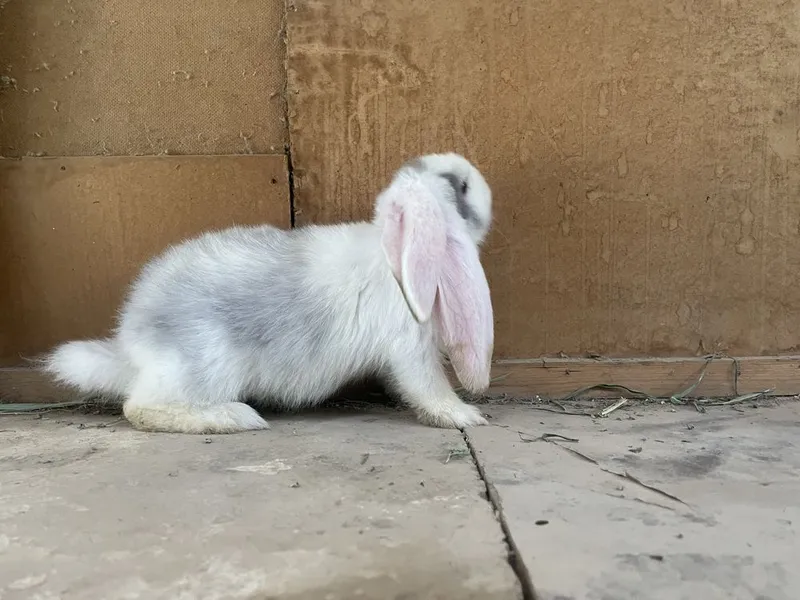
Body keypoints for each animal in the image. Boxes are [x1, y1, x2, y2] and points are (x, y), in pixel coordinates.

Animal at [42, 152, 495, 434]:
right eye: (461, 186)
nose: (485, 185)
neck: (395, 255)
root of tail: (132, 343)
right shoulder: (411, 347)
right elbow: (428, 385)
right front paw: (465, 416)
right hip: (209, 365)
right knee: (139, 408)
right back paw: (234, 419)